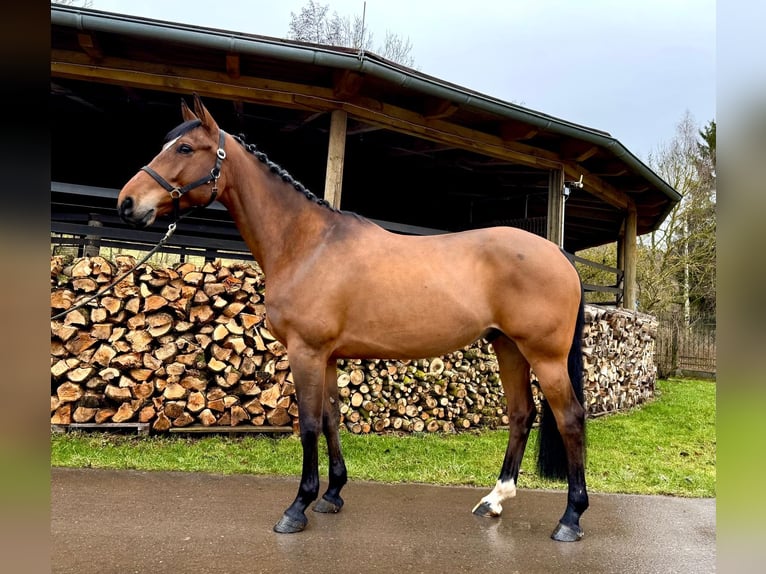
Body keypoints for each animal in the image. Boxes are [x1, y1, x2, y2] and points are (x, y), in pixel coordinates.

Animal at [117, 95, 592, 544]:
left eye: (184, 148)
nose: (126, 203)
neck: (308, 245)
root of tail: (560, 256)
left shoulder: (306, 352)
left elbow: (309, 424)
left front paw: (297, 507)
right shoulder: (327, 357)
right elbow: (330, 418)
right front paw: (331, 494)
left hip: (544, 356)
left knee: (570, 418)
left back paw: (570, 519)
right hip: (507, 347)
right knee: (521, 415)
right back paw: (495, 499)